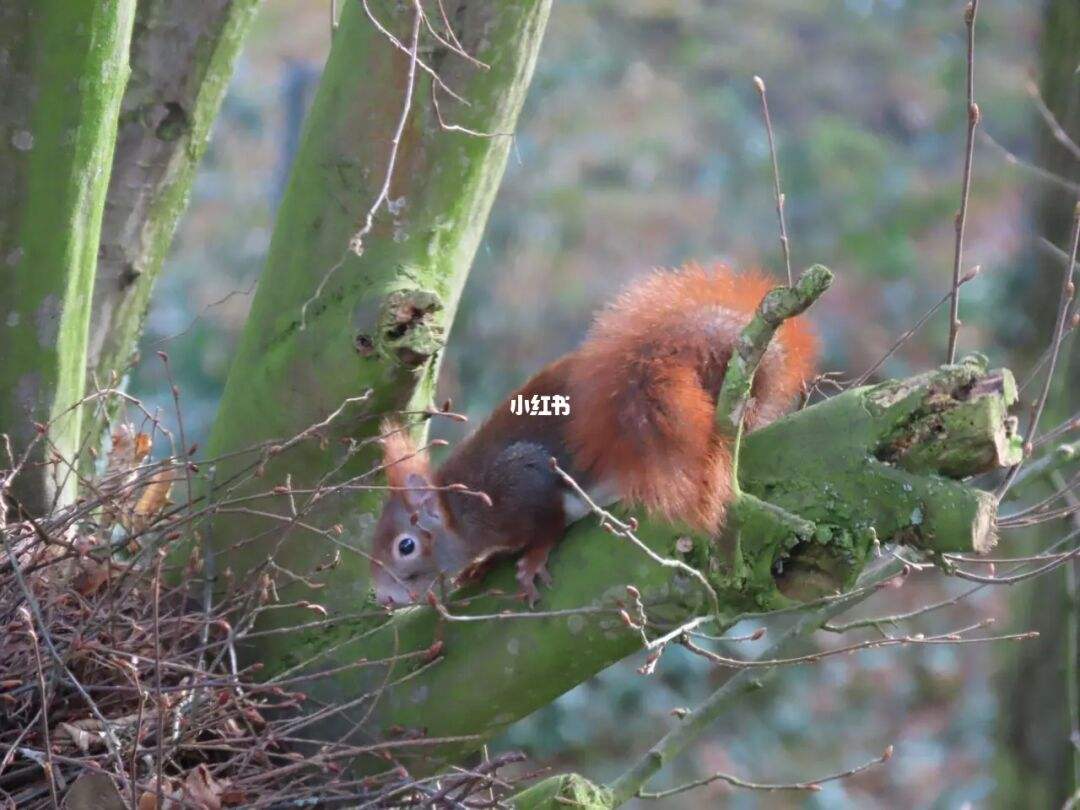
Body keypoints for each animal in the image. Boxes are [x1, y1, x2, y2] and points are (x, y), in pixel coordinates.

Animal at [367, 266, 812, 609]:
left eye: (405, 546)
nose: (384, 596)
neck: (460, 514)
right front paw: (482, 565)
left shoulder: (519, 478)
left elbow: (548, 521)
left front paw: (531, 560)